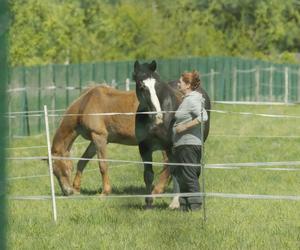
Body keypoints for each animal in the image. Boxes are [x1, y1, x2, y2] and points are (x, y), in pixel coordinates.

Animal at [134, 60, 211, 207]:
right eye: (141, 85)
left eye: (157, 85)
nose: (157, 115)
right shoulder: (144, 148)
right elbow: (148, 174)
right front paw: (148, 203)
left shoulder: (171, 147)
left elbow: (175, 171)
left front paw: (175, 203)